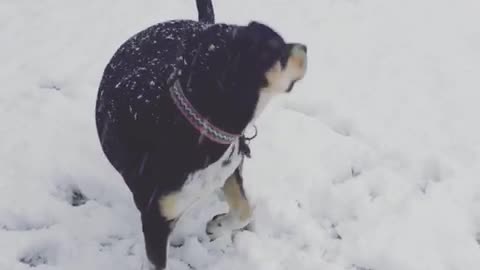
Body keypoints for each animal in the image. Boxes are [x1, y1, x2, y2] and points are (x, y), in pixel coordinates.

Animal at [95, 0, 310, 268]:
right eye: (279, 51)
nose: (305, 47)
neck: (199, 123)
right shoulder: (156, 216)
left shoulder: (230, 167)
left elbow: (244, 209)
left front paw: (216, 226)